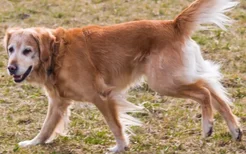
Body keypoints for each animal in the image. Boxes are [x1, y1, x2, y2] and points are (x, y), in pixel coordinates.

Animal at [3, 0, 242, 152]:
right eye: (11, 49)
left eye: (27, 51)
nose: (11, 68)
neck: (57, 53)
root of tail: (172, 24)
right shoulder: (58, 102)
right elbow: (46, 128)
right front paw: (32, 143)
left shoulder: (102, 95)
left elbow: (115, 125)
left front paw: (120, 147)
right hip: (174, 78)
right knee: (213, 90)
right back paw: (235, 129)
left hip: (164, 82)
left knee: (204, 92)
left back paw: (208, 126)